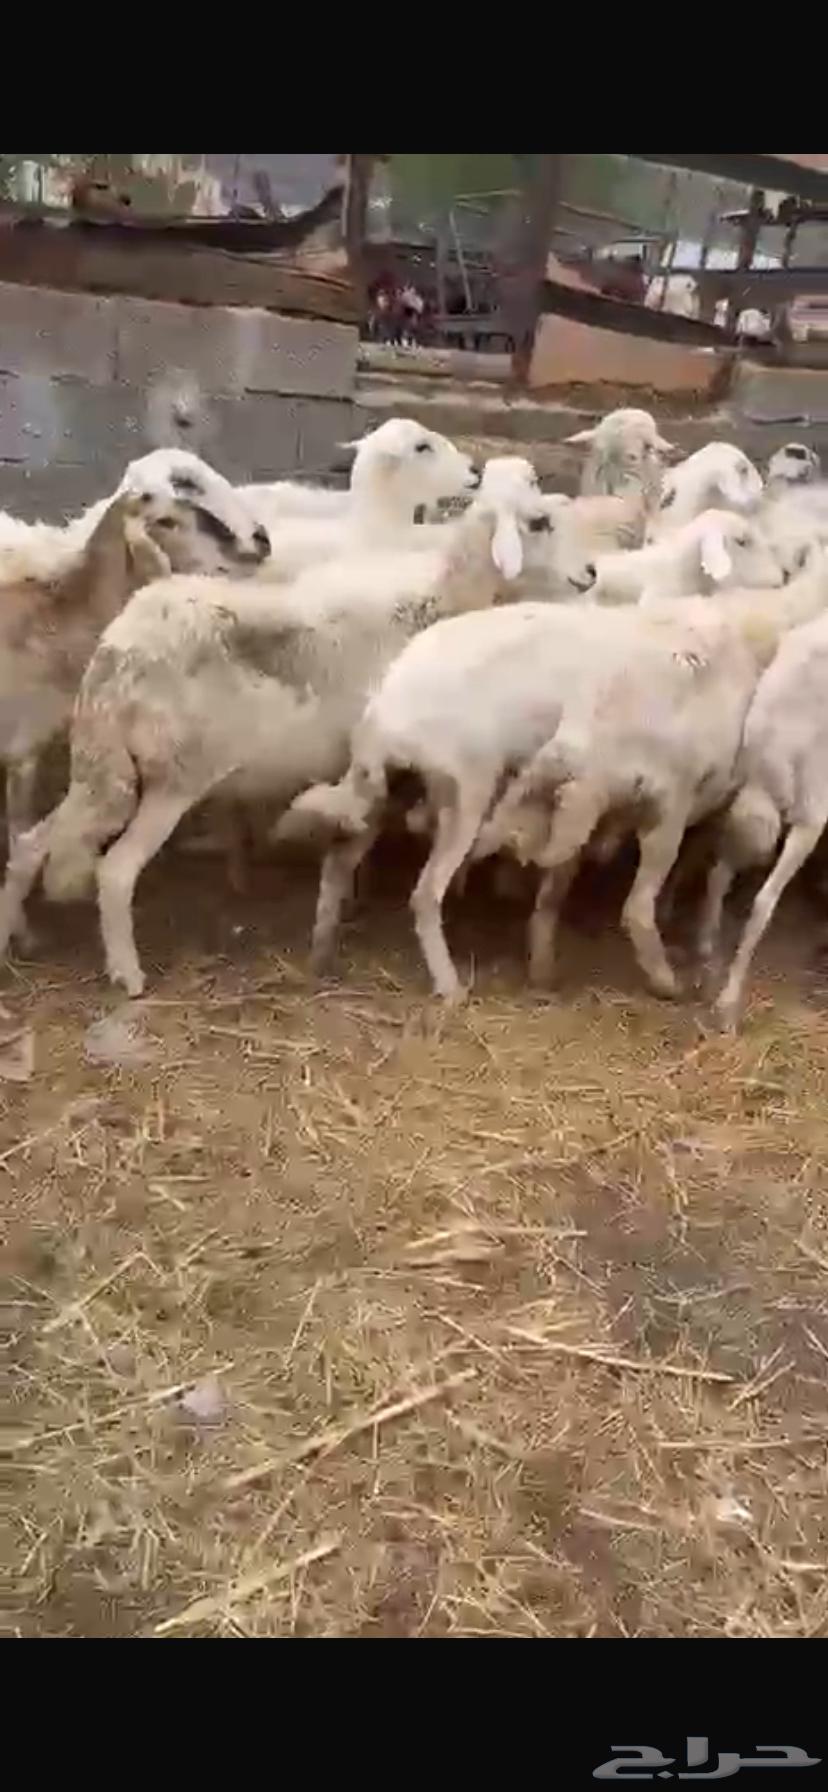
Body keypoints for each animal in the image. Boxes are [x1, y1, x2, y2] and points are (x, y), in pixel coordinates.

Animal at [0, 458, 550, 992]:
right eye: (539, 522)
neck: (434, 601)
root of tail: (117, 656)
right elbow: (349, 849)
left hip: (106, 771)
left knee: (29, 846)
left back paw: (15, 938)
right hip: (173, 779)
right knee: (115, 871)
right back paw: (128, 976)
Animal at [292, 551, 828, 1001]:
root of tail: (388, 709)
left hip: (383, 791)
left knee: (339, 860)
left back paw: (322, 952)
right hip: (469, 789)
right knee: (426, 894)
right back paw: (450, 987)